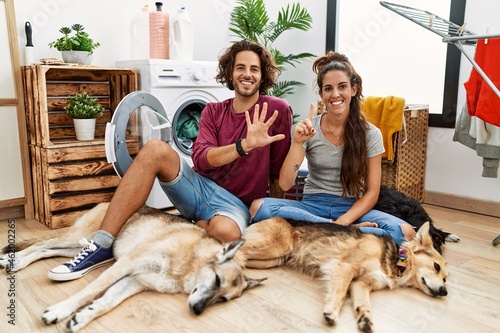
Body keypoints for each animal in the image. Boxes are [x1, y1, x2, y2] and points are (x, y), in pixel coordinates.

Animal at [0, 202, 266, 332]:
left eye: (223, 300)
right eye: (217, 281)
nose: (198, 310)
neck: (189, 262)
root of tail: (107, 201)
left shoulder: (134, 281)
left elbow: (105, 302)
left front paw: (83, 317)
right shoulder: (125, 265)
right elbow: (88, 292)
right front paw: (60, 310)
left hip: (76, 246)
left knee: (46, 250)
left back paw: (20, 261)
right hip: (80, 236)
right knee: (42, 244)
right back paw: (13, 260)